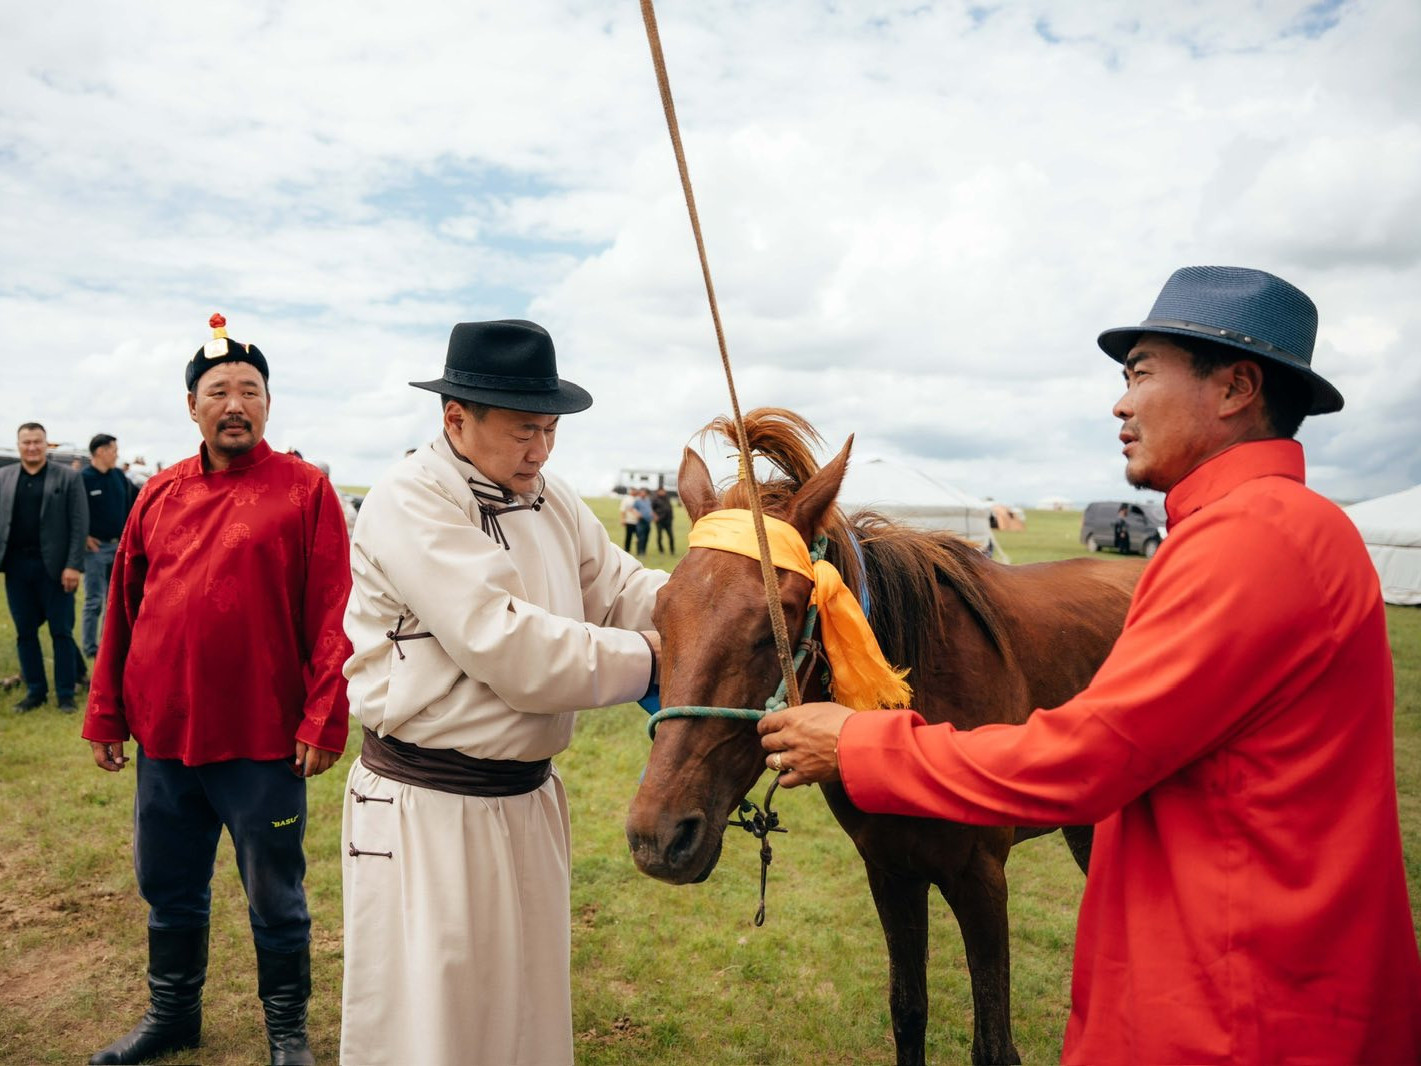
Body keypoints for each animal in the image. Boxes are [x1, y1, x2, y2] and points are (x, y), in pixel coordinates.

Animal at [622, 406, 1142, 1063]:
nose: (658, 837)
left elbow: (993, 1046)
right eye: (661, 614)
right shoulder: (892, 871)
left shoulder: (980, 880)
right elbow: (908, 1012)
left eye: (774, 624)